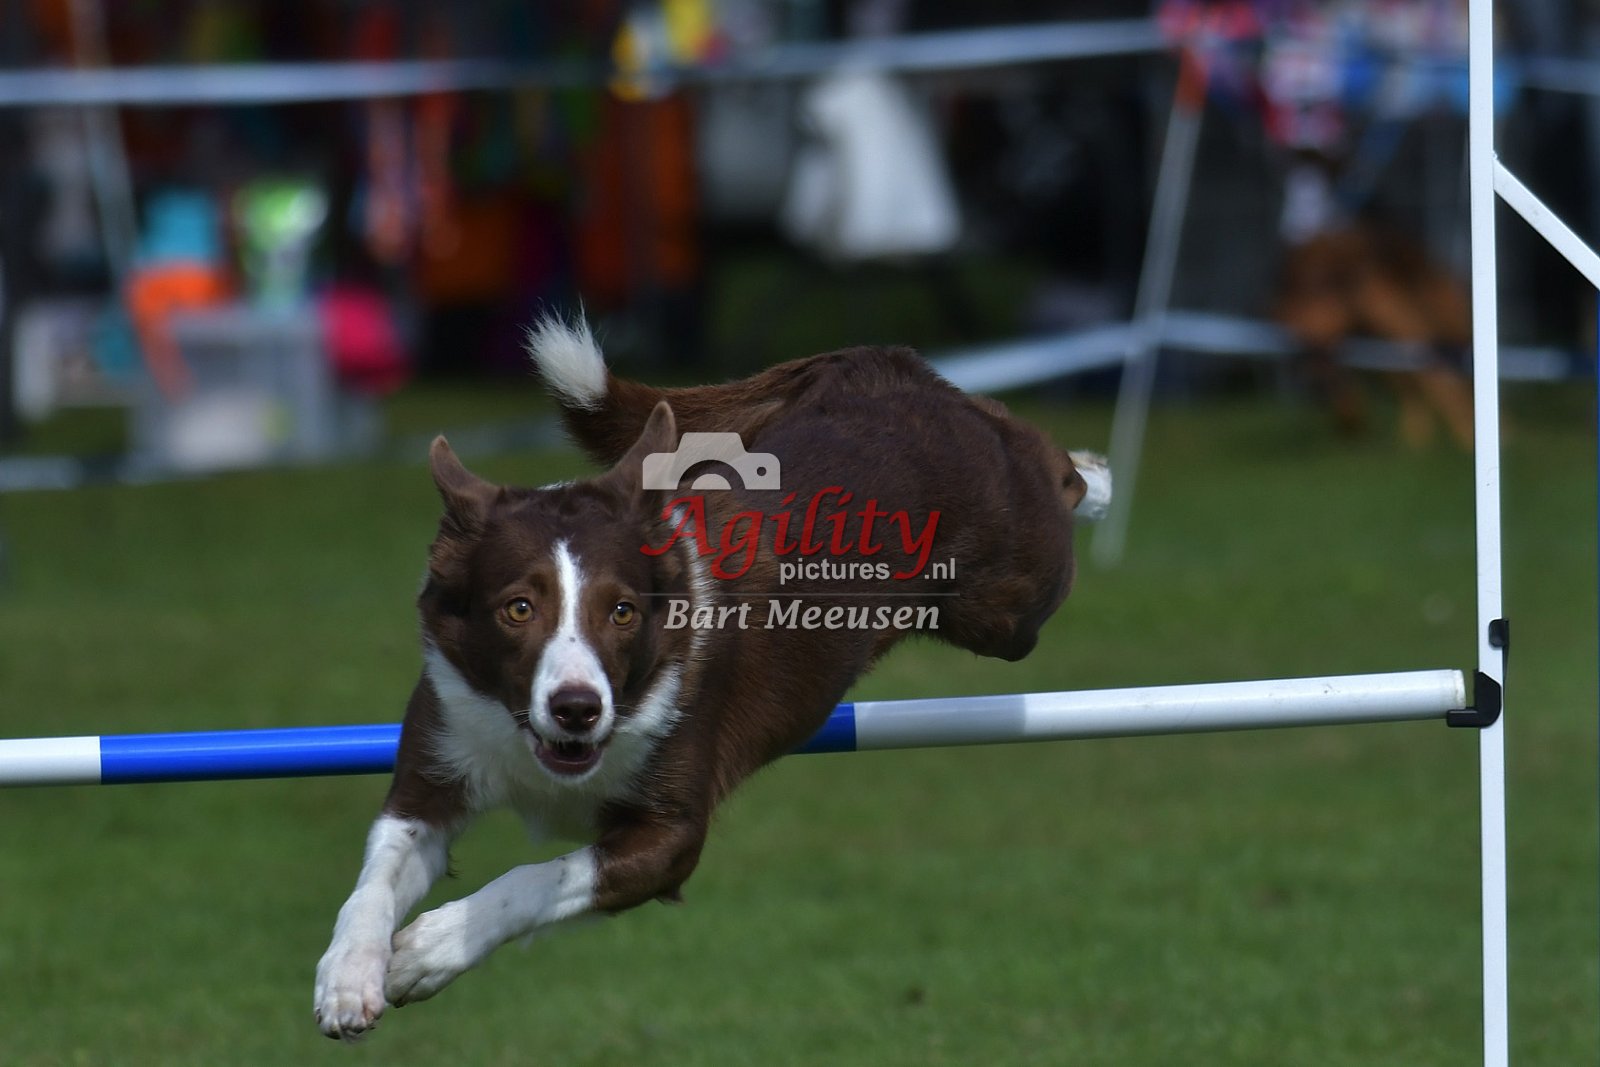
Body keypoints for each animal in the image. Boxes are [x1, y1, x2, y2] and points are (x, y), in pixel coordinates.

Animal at [313, 317, 1111, 1039]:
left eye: (622, 610)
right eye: (518, 608)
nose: (577, 708)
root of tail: (886, 363)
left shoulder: (670, 832)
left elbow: (536, 878)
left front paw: (429, 948)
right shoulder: (436, 761)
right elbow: (373, 881)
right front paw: (349, 978)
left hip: (1010, 600)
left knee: (1037, 459)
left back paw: (1096, 473)